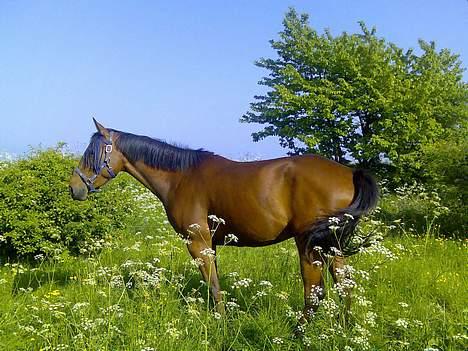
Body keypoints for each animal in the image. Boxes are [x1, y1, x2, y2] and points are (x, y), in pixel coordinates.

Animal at [68, 121, 376, 322]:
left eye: (92, 154)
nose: (74, 188)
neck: (180, 177)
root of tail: (350, 173)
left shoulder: (197, 242)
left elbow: (213, 285)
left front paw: (221, 322)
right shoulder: (210, 244)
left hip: (310, 245)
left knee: (314, 289)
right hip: (332, 246)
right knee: (344, 284)